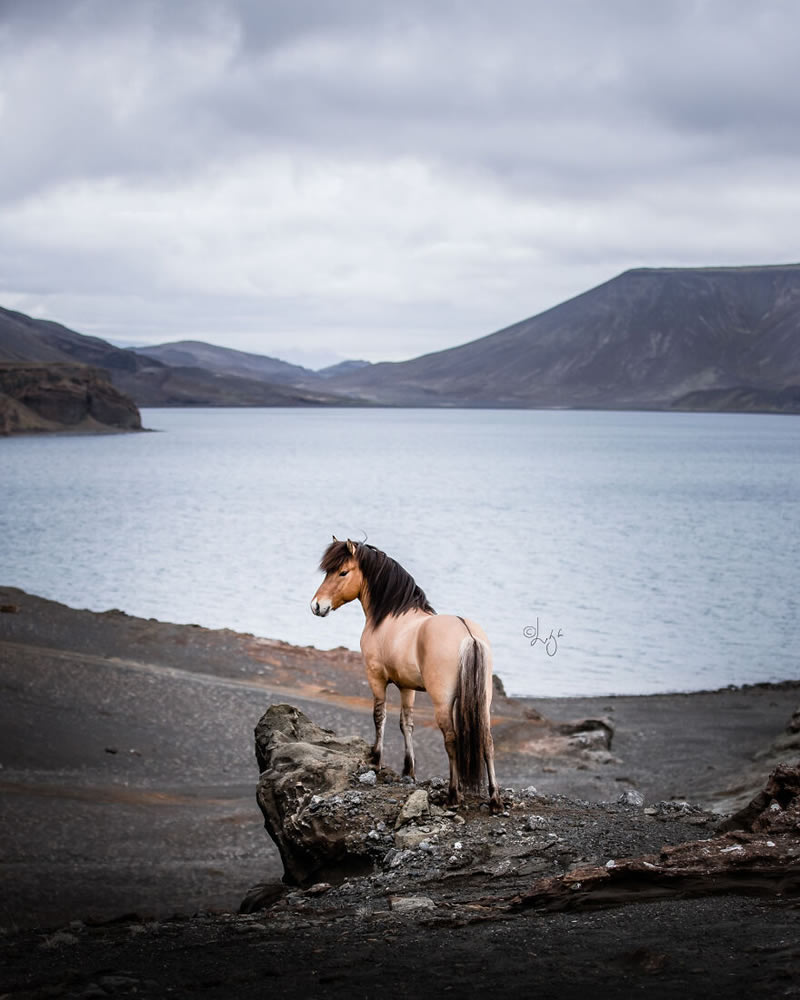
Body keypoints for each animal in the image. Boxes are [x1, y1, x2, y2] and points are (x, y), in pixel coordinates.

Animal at [308, 540, 500, 812]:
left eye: (343, 572)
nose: (317, 605)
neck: (390, 616)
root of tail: (468, 635)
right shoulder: (406, 687)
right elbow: (406, 724)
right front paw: (409, 770)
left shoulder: (376, 678)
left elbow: (380, 716)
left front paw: (376, 760)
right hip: (483, 702)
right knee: (487, 740)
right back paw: (495, 799)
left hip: (442, 702)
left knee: (451, 740)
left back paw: (454, 795)